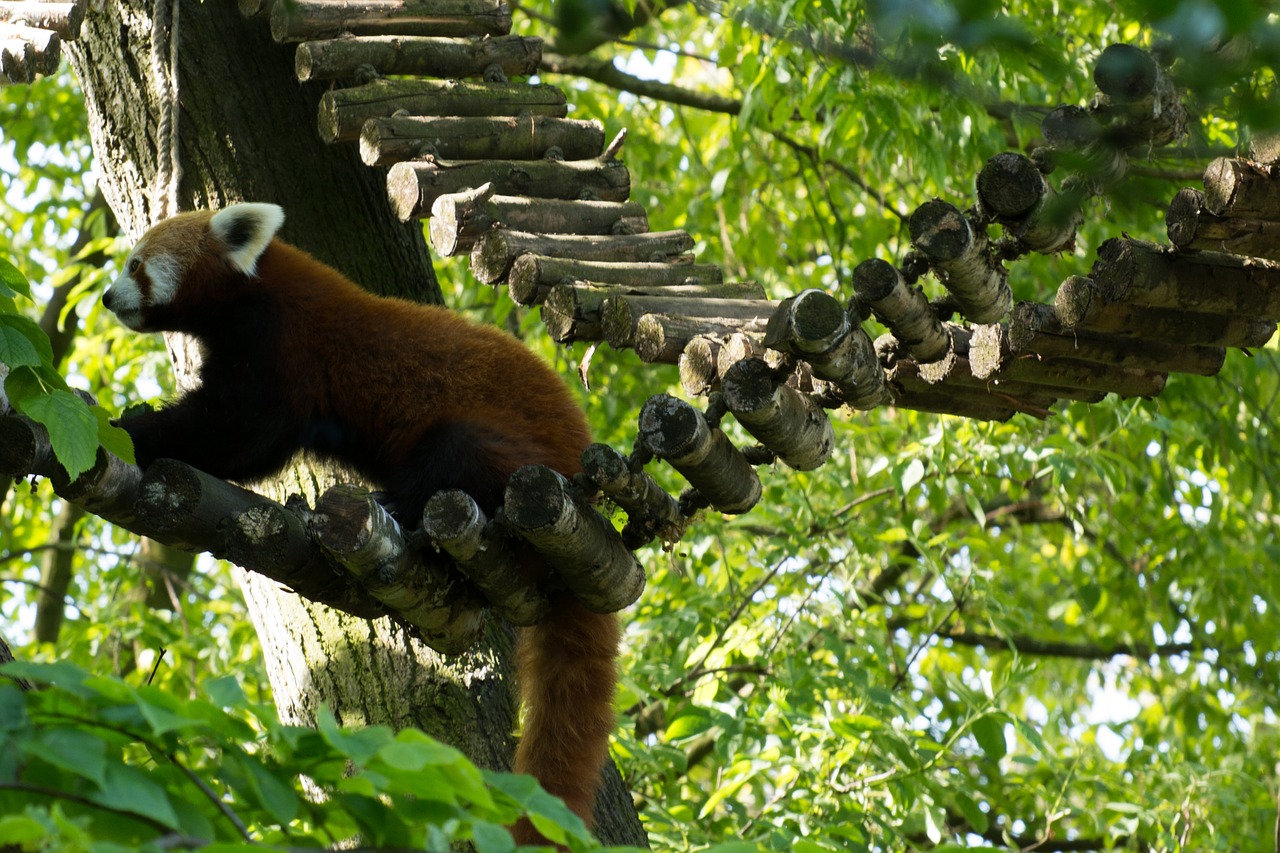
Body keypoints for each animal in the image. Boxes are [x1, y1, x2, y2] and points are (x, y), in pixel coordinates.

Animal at [102, 202, 622, 840]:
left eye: (135, 264)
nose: (108, 296)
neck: (258, 287)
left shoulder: (281, 346)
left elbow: (239, 430)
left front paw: (131, 427)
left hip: (511, 452)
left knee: (455, 453)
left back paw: (399, 510)